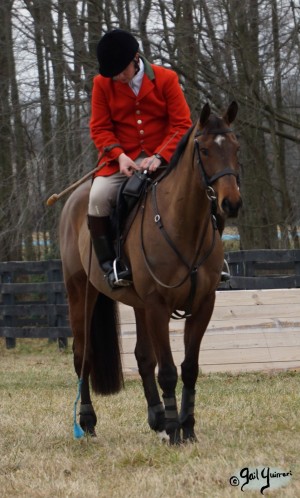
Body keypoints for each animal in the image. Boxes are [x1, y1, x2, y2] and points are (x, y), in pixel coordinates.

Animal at [59, 100, 243, 444]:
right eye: (205, 150)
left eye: (235, 147)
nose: (232, 204)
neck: (184, 224)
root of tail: (74, 200)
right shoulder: (158, 305)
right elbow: (168, 371)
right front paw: (174, 431)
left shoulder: (202, 305)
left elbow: (189, 368)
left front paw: (186, 426)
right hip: (81, 294)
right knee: (82, 356)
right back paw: (87, 422)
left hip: (139, 305)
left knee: (143, 357)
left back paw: (156, 417)